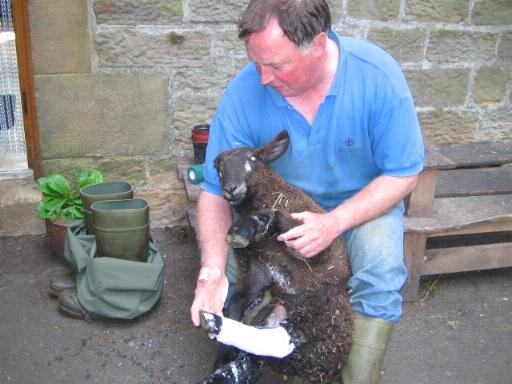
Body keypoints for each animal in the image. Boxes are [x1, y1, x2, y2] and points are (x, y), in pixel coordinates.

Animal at [198, 130, 354, 384]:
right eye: (216, 164)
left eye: (253, 158)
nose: (231, 188)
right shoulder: (257, 270)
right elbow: (236, 302)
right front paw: (223, 355)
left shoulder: (320, 248)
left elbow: (275, 215)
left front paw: (241, 229)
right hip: (276, 314)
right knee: (257, 351)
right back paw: (223, 362)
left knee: (275, 344)